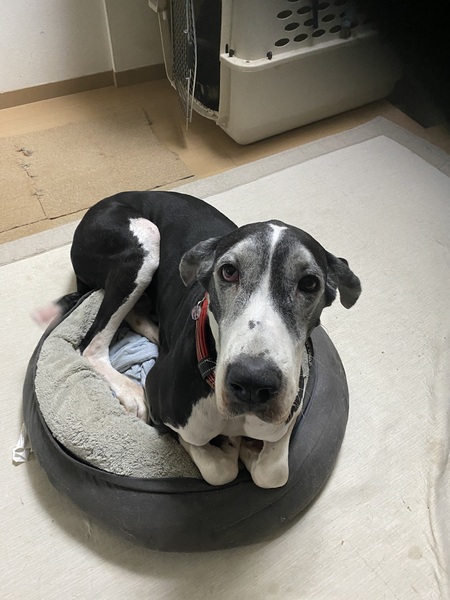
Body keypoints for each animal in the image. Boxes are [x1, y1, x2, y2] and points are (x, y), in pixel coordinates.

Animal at [40, 190, 361, 488]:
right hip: (141, 241)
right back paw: (130, 391)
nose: (253, 382)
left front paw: (249, 449)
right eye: (228, 271)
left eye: (309, 283)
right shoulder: (164, 408)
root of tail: (101, 204)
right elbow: (217, 468)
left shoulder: (292, 405)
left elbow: (273, 473)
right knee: (91, 345)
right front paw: (233, 448)